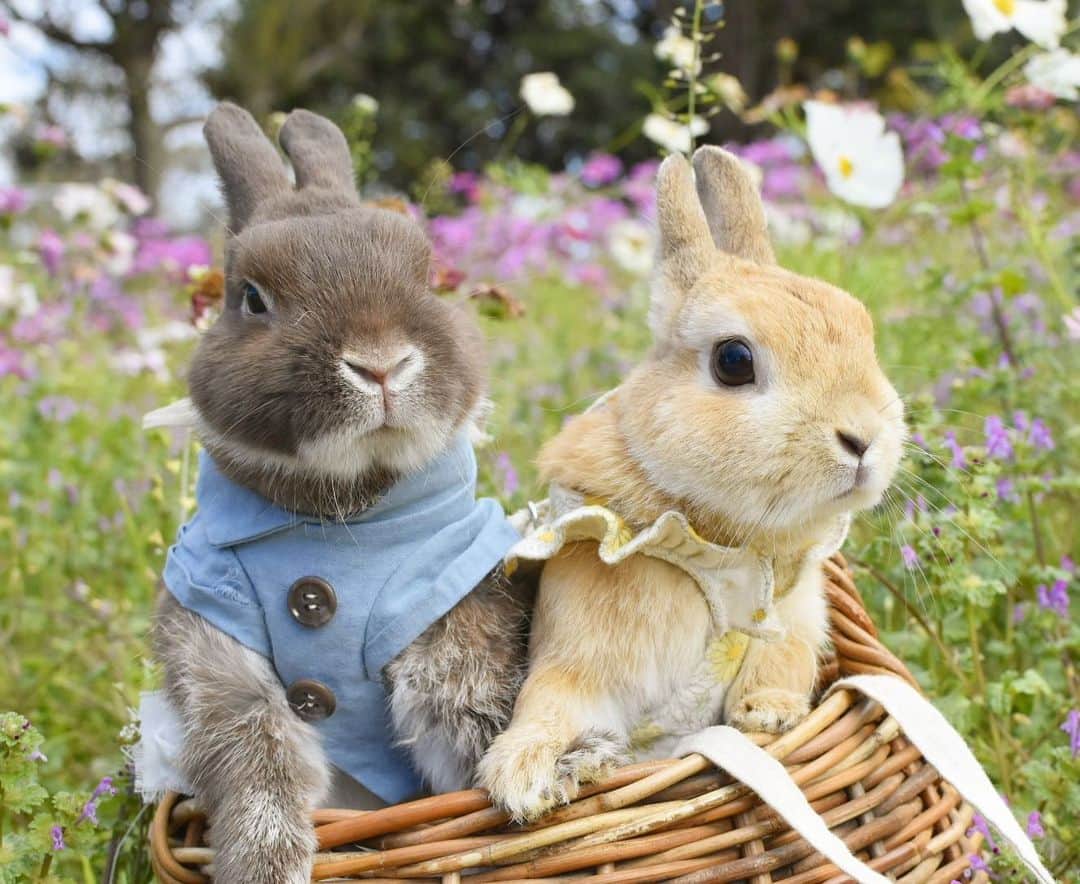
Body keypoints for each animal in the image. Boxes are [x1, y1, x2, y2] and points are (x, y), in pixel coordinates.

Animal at [151, 102, 533, 884]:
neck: (344, 518)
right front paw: (266, 864)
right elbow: (256, 753)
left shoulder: (457, 610)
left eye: (426, 275)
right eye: (252, 299)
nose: (381, 364)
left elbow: (466, 707)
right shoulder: (214, 646)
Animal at [477, 145, 906, 823]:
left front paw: (770, 715)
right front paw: (525, 777)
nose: (864, 439)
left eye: (862, 328)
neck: (718, 543)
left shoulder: (795, 611)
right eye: (733, 360)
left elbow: (784, 658)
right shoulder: (579, 651)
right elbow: (553, 699)